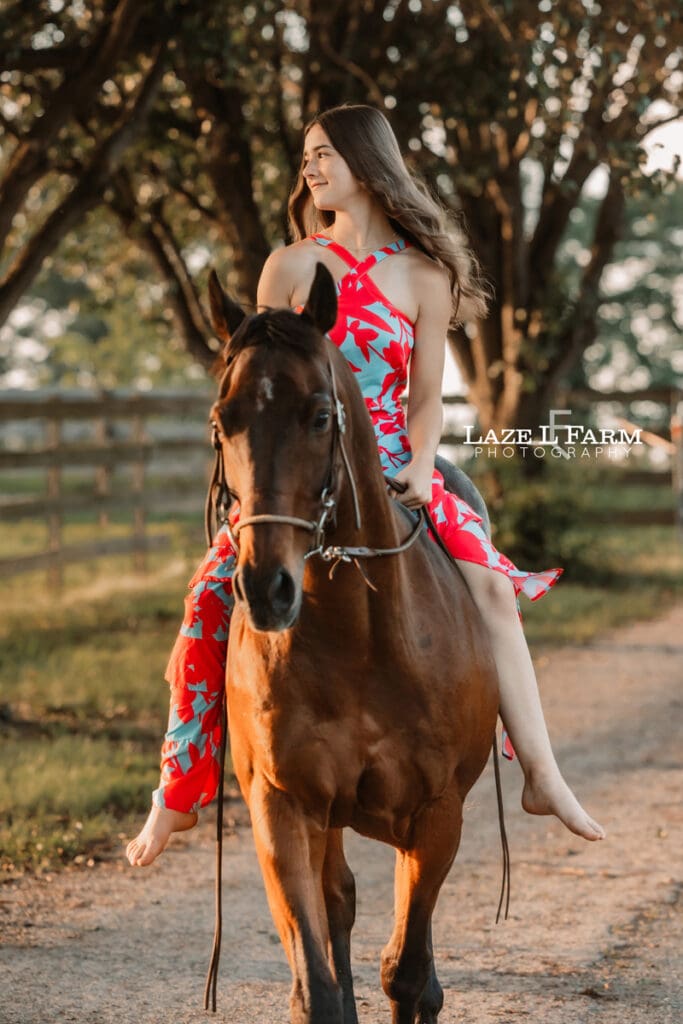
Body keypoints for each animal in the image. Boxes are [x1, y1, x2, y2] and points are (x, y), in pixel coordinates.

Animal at [207, 262, 500, 1024]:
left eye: (318, 414)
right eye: (223, 421)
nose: (266, 588)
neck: (357, 642)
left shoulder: (435, 818)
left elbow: (408, 975)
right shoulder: (282, 808)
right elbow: (318, 984)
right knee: (337, 902)